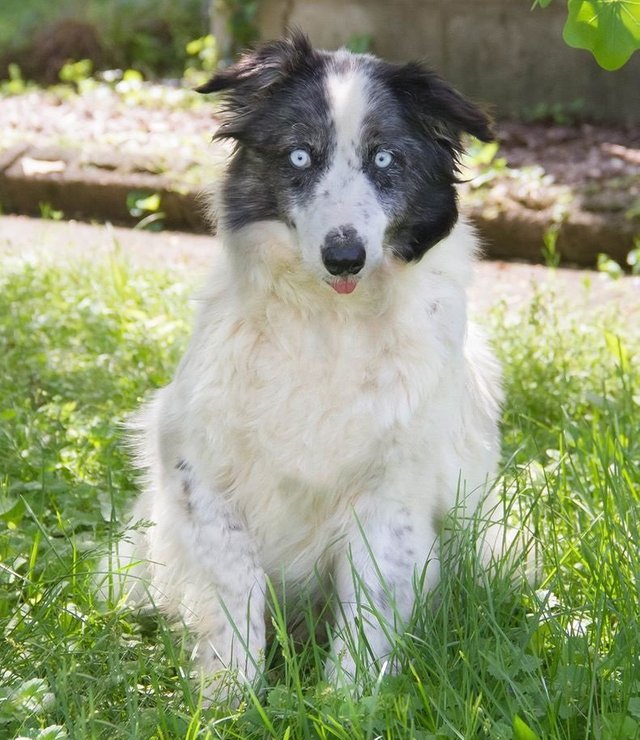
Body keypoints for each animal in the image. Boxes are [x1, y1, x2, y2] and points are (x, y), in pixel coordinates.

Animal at [102, 30, 508, 700]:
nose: (344, 256)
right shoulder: (198, 466)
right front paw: (230, 695)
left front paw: (347, 701)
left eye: (385, 159)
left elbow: (370, 603)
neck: (328, 324)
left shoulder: (392, 494)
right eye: (298, 157)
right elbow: (236, 583)